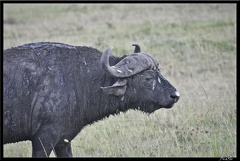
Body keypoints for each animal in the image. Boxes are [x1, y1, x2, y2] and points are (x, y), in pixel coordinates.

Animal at [3, 42, 180, 158]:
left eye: (159, 72)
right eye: (148, 78)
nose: (175, 95)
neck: (76, 79)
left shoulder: (63, 141)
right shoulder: (43, 139)